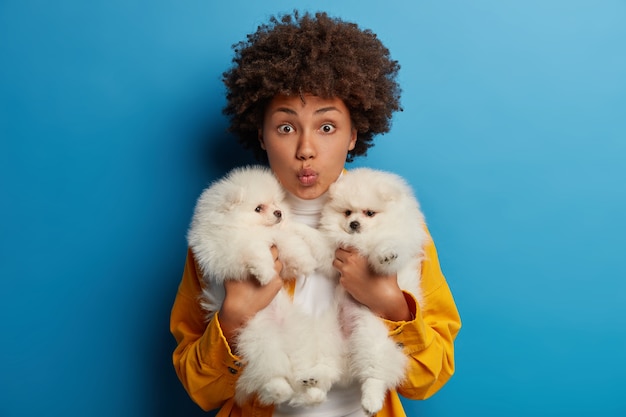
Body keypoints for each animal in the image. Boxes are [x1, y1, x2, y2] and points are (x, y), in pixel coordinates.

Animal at [186, 164, 336, 404]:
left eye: (275, 203)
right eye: (258, 208)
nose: (279, 213)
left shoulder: (280, 234)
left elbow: (291, 240)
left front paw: (303, 261)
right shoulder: (230, 247)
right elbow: (257, 248)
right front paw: (265, 274)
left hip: (300, 340)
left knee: (300, 371)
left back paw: (312, 387)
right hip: (259, 342)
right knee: (271, 375)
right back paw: (281, 389)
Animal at [320, 167, 426, 414]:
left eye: (369, 213)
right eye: (347, 212)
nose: (354, 224)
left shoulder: (399, 238)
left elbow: (389, 243)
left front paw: (386, 253)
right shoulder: (334, 251)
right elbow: (319, 244)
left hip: (373, 335)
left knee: (375, 373)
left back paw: (371, 401)